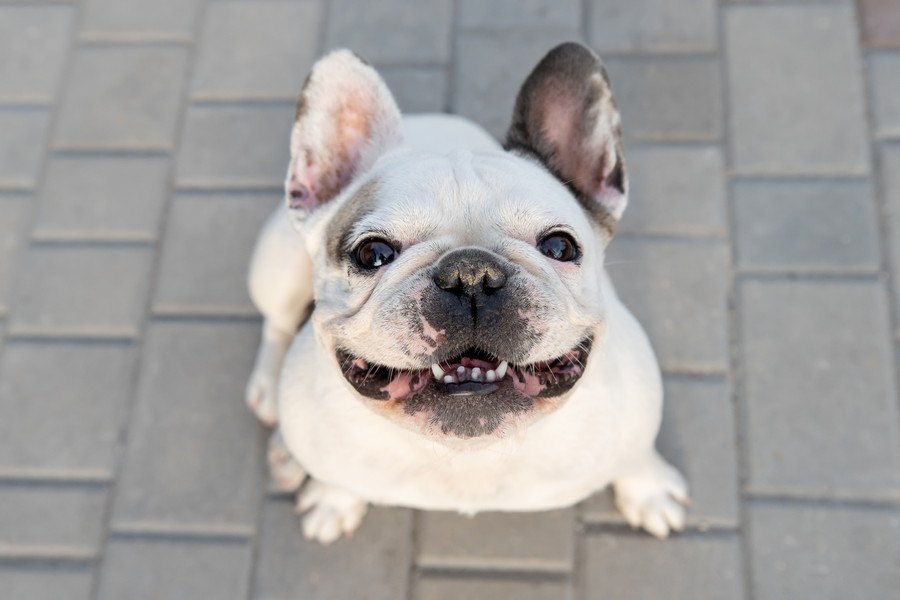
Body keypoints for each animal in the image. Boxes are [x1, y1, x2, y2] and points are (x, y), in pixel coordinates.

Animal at [243, 42, 684, 544]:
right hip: (277, 262)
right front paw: (334, 499)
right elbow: (336, 475)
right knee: (277, 323)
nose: (471, 274)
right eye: (372, 253)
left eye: (560, 247)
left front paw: (649, 490)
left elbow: (636, 455)